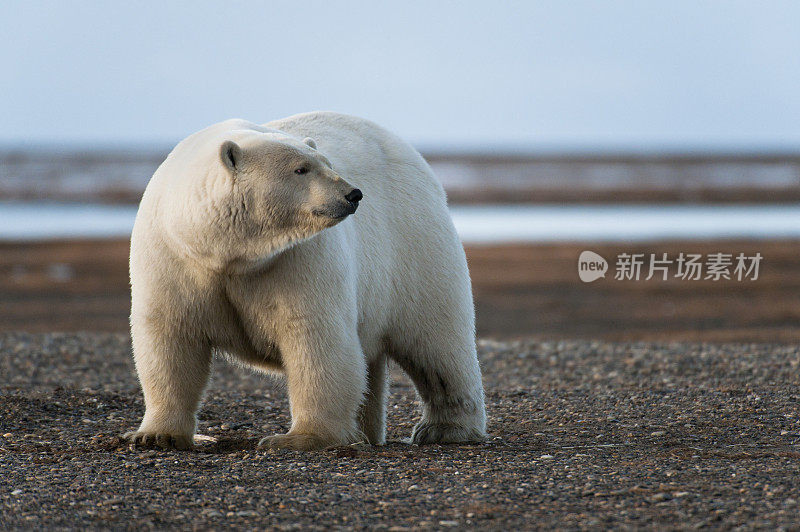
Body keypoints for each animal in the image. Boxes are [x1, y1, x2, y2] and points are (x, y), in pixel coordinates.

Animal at [125, 111, 488, 448]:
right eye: (301, 169)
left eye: (327, 162)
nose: (353, 194)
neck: (228, 252)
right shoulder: (173, 258)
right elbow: (170, 339)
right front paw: (155, 436)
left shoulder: (296, 259)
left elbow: (315, 336)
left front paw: (298, 438)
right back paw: (364, 433)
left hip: (413, 245)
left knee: (437, 343)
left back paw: (445, 429)